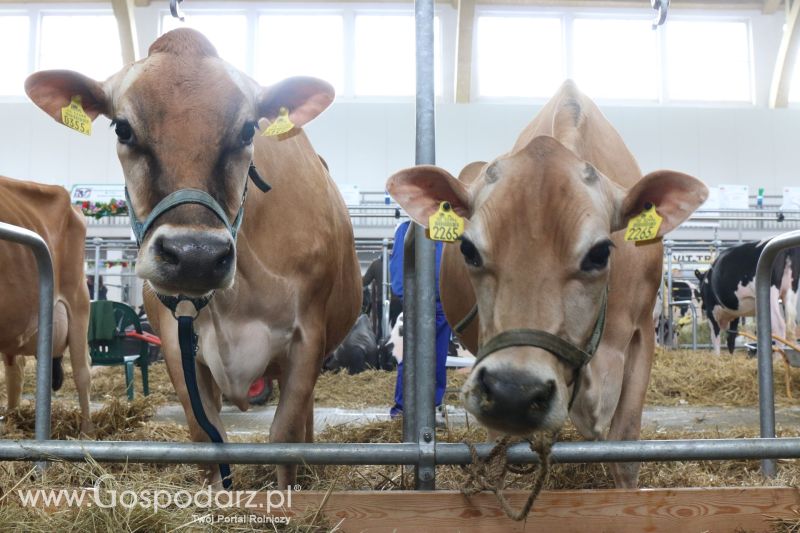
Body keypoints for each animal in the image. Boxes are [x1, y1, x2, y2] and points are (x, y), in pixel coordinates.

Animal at [26, 28, 360, 486]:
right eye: (123, 128)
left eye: (248, 130)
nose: (195, 255)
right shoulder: (175, 340)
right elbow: (207, 437)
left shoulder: (307, 336)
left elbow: (284, 437)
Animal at [388, 80, 708, 486]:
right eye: (468, 249)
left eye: (600, 253)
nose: (514, 392)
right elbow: (499, 452)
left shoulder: (642, 333)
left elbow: (625, 450)